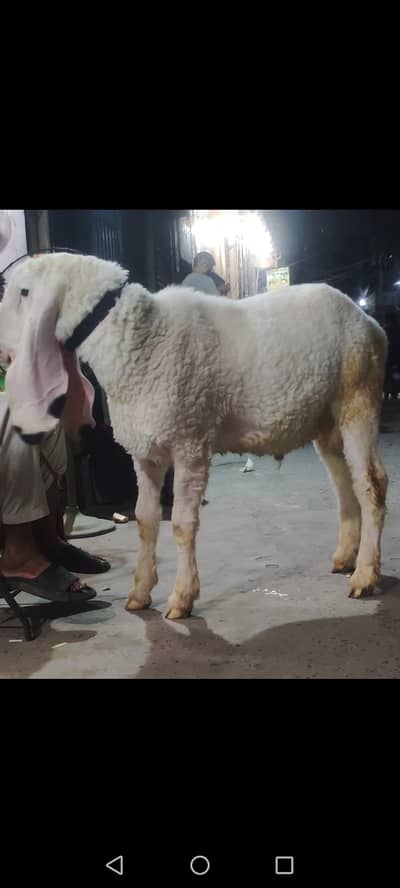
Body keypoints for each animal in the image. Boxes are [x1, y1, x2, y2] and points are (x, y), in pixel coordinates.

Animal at [1, 252, 388, 618]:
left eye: (24, 292)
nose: (2, 348)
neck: (138, 336)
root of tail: (370, 323)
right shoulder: (145, 452)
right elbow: (145, 519)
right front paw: (140, 593)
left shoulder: (189, 440)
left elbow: (182, 525)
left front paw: (182, 597)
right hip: (326, 420)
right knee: (346, 484)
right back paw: (345, 557)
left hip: (358, 398)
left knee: (371, 485)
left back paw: (365, 575)